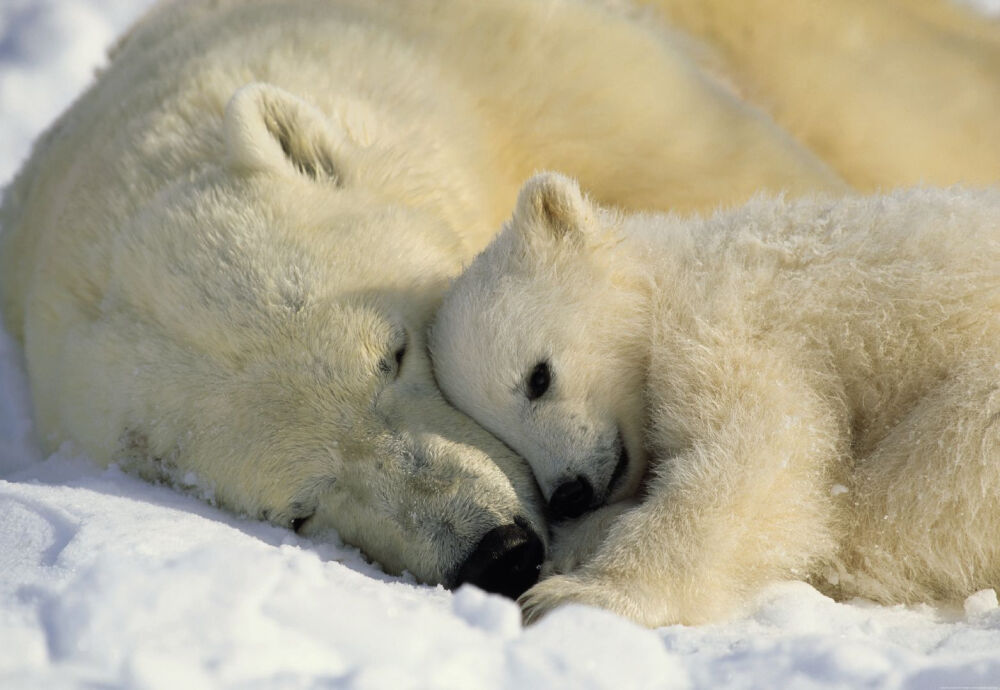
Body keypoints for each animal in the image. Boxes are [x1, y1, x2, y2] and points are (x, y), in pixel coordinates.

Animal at [434, 172, 1000, 624]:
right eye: (500, 433)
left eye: (538, 378)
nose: (569, 493)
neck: (677, 271)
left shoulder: (727, 321)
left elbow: (753, 459)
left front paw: (572, 595)